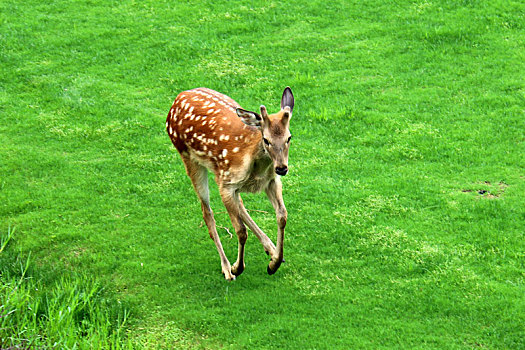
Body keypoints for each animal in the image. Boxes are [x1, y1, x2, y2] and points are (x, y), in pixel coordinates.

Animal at [165, 87, 292, 282]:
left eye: (289, 138)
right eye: (266, 139)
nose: (282, 168)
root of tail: (176, 101)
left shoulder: (271, 181)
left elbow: (282, 216)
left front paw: (274, 264)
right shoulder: (225, 183)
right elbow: (240, 231)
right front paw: (237, 268)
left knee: (240, 205)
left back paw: (270, 248)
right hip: (189, 158)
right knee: (207, 212)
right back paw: (226, 267)